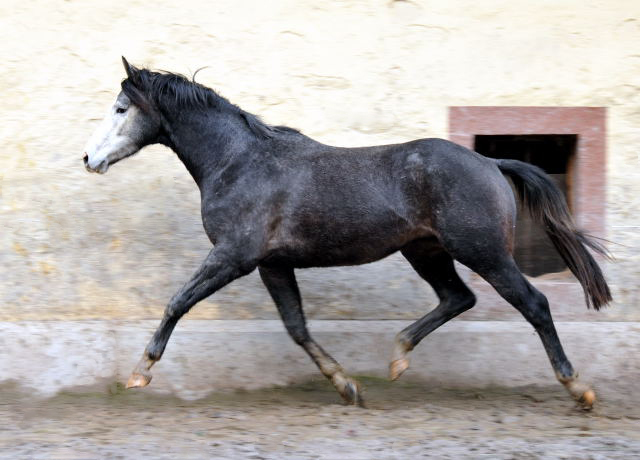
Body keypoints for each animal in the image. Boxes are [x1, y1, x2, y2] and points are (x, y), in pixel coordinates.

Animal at [81, 56, 608, 406]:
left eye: (121, 109)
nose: (89, 158)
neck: (238, 162)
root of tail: (491, 162)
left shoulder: (234, 256)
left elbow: (177, 302)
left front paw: (140, 373)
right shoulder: (273, 264)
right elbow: (296, 327)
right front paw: (346, 384)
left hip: (484, 253)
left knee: (533, 304)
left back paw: (578, 387)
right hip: (426, 251)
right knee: (458, 298)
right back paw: (398, 357)